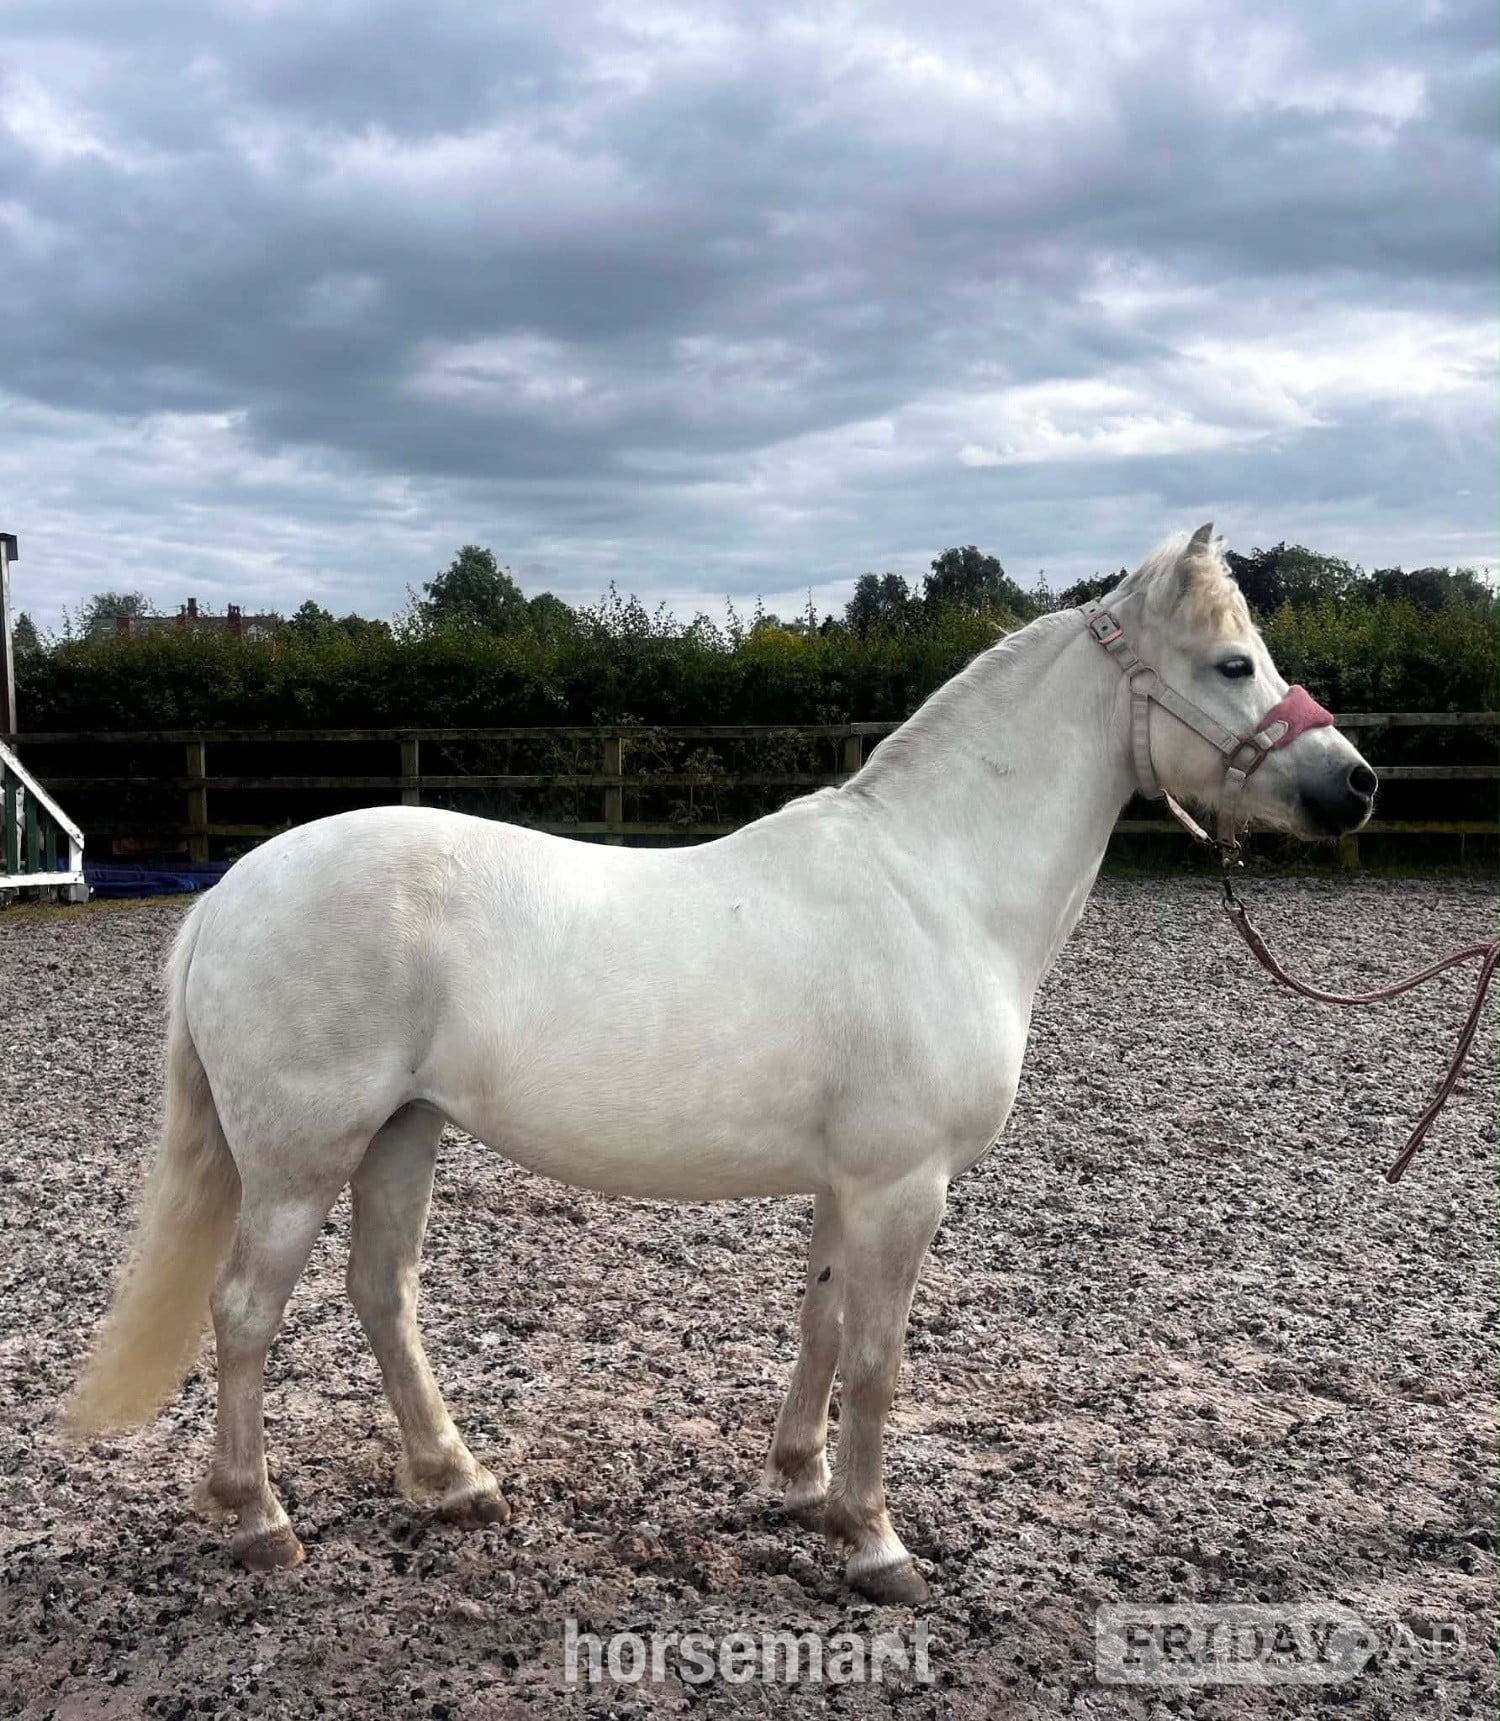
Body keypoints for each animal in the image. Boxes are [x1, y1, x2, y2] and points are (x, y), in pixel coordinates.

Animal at [64, 525, 1375, 1604]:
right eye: (1233, 664)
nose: (1354, 786)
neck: (938, 885)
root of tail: (232, 889)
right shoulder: (906, 1185)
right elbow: (879, 1358)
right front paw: (876, 1543)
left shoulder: (853, 1183)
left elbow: (821, 1324)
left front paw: (801, 1484)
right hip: (302, 1154)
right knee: (245, 1310)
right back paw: (260, 1521)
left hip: (403, 1131)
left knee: (382, 1293)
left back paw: (456, 1481)